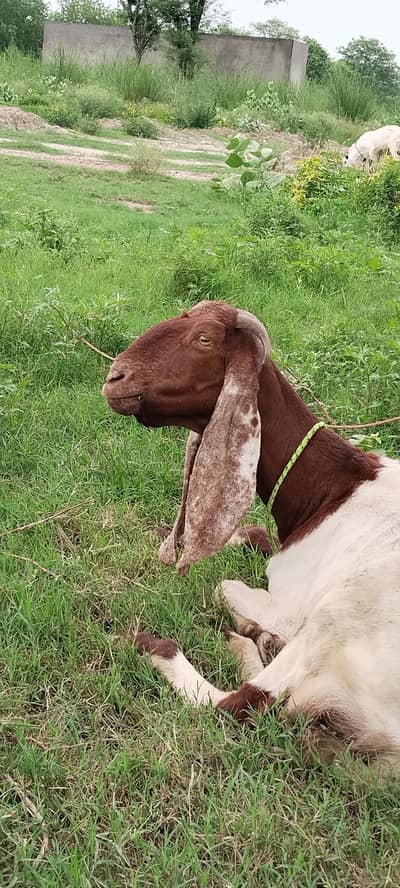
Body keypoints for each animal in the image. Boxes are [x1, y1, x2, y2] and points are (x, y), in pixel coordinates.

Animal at [103, 301, 400, 764]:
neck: (332, 489)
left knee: (234, 705)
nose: (115, 379)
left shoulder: (295, 606)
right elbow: (256, 532)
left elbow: (224, 585)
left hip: (341, 614)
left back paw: (157, 644)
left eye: (204, 339)